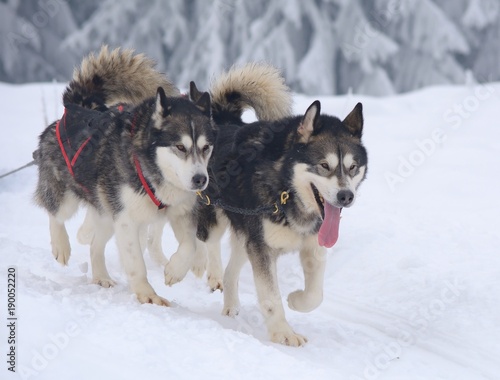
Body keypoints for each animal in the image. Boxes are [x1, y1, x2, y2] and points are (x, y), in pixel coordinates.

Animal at [34, 46, 214, 306]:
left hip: (108, 215)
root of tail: (75, 108)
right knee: (55, 213)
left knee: (95, 246)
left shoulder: (180, 213)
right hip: (69, 198)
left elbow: (190, 244)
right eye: (180, 147)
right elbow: (136, 263)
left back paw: (101, 276)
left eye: (206, 147)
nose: (200, 179)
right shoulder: (127, 219)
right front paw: (148, 294)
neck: (152, 171)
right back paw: (61, 245)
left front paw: (175, 270)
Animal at [191, 85, 368, 344]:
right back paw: (198, 268)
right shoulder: (262, 250)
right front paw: (283, 333)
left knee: (231, 270)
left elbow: (315, 295)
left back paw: (230, 305)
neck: (287, 190)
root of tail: (224, 121)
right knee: (204, 241)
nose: (346, 196)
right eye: (324, 165)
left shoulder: (312, 246)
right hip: (216, 219)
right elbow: (271, 297)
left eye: (352, 167)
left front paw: (296, 300)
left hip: (247, 237)